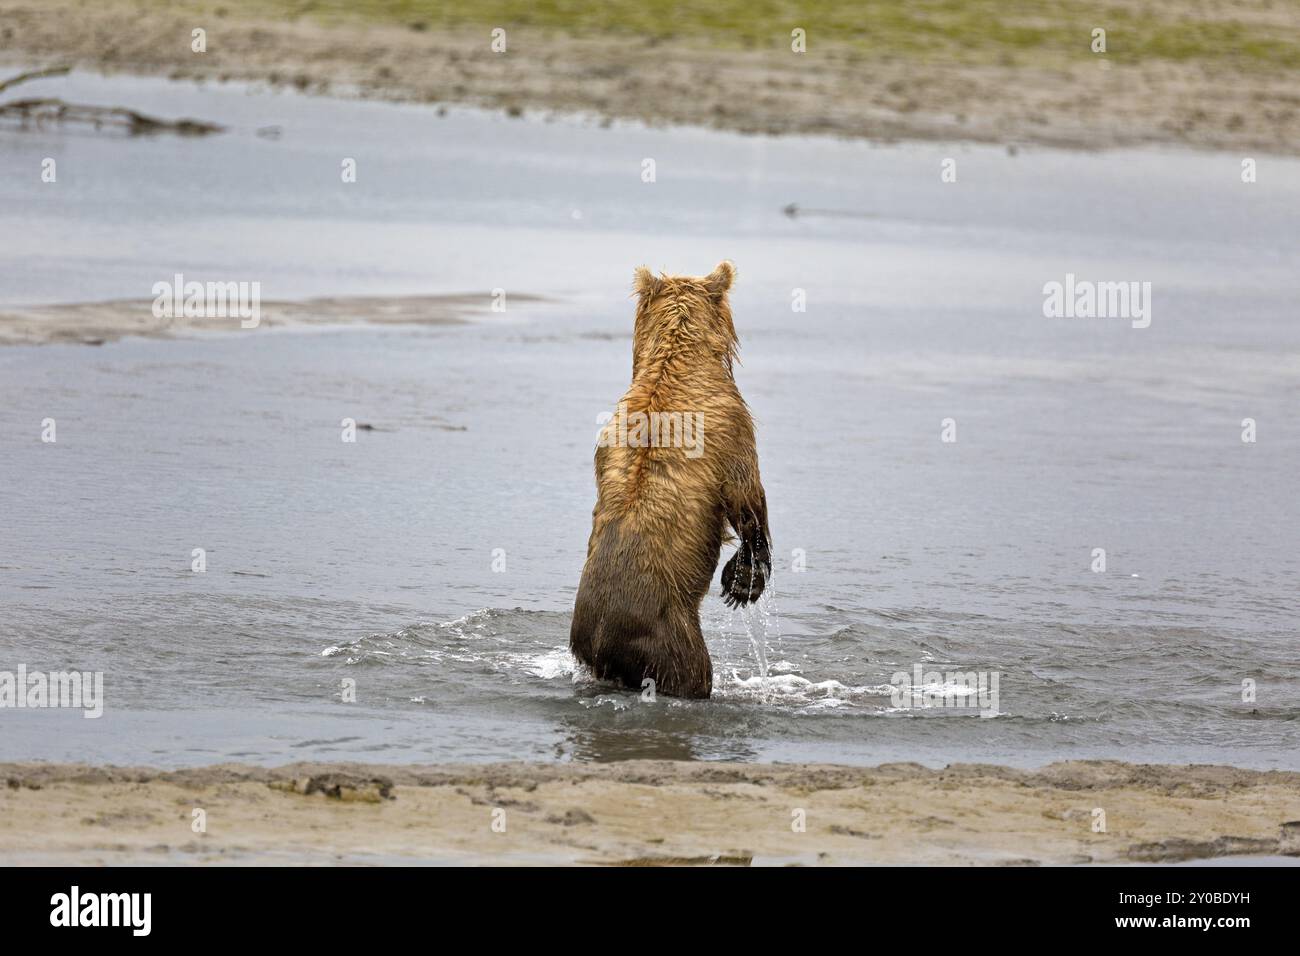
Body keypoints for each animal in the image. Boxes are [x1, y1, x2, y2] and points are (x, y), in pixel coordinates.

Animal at [572, 265, 769, 697]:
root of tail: (604, 642)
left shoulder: (607, 436)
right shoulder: (732, 428)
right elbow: (747, 496)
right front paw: (745, 581)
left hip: (584, 642)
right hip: (672, 635)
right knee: (693, 674)